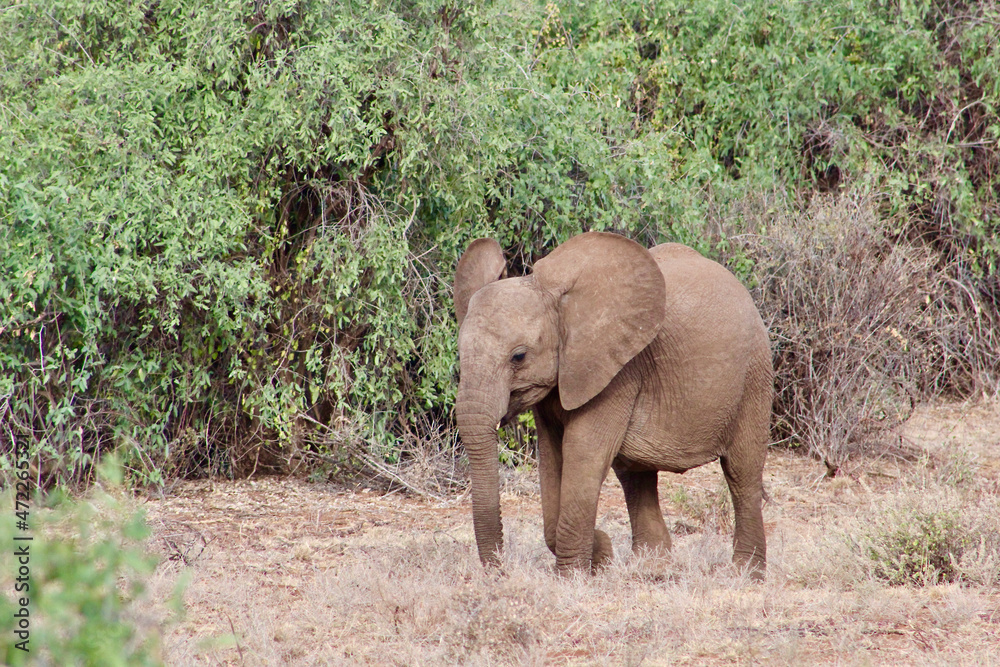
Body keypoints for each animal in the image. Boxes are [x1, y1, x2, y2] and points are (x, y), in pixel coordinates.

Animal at [454, 232, 772, 576]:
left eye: (519, 356)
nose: (499, 571)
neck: (557, 300)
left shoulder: (618, 371)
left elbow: (583, 454)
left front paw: (576, 575)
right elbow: (552, 457)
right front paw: (601, 555)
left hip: (754, 375)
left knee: (742, 473)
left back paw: (746, 573)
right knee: (635, 474)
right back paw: (652, 568)